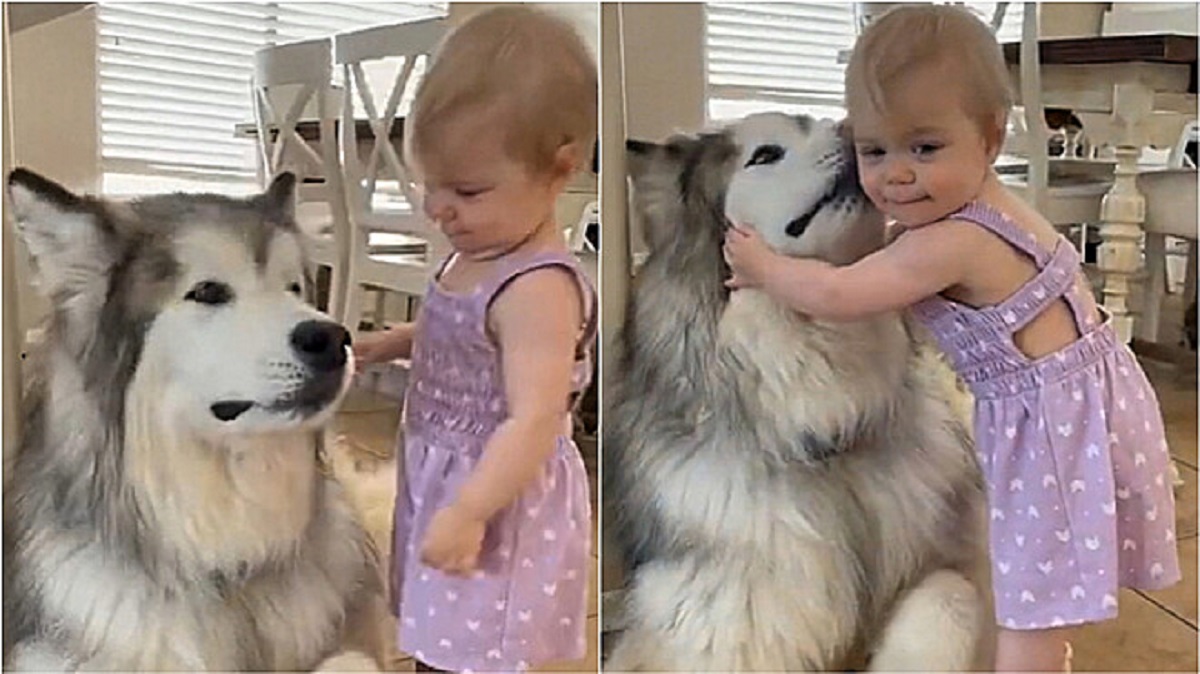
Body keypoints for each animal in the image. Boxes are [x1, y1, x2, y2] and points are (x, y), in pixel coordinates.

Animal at [604, 112, 988, 666]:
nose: (855, 131)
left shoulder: (958, 564)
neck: (829, 439)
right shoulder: (730, 622)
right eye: (766, 154)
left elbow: (951, 598)